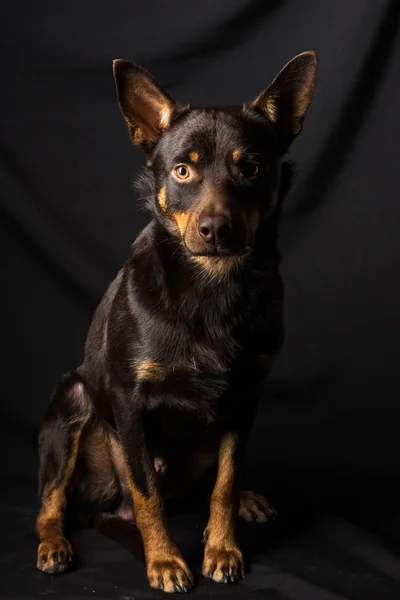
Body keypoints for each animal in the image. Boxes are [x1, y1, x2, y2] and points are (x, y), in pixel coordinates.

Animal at [36, 50, 318, 592]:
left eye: (251, 169)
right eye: (182, 171)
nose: (215, 230)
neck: (211, 288)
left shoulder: (245, 396)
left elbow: (226, 481)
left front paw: (223, 547)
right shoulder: (129, 400)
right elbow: (148, 495)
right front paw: (165, 560)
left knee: (207, 483)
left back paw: (244, 502)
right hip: (73, 403)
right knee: (54, 503)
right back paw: (55, 544)